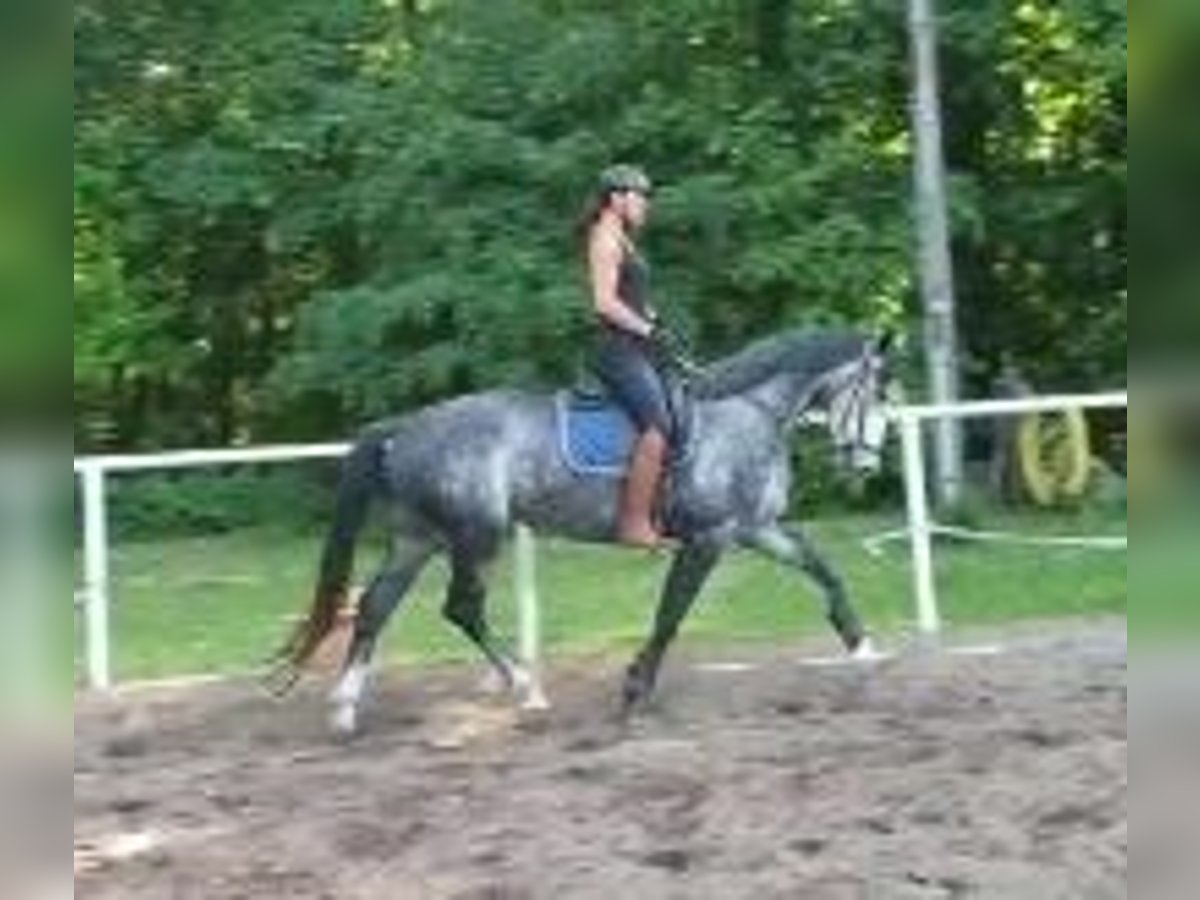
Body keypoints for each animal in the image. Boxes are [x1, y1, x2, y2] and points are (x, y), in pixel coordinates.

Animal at [272, 328, 892, 734]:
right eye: (879, 393)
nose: (864, 466)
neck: (748, 413)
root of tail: (405, 429)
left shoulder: (755, 528)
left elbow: (822, 568)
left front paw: (861, 647)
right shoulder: (709, 538)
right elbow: (671, 614)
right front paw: (634, 690)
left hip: (420, 538)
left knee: (376, 606)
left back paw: (346, 708)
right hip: (476, 536)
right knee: (461, 606)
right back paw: (522, 686)